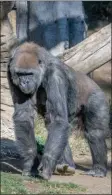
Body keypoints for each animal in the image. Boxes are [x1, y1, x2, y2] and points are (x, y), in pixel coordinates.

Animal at [8, 41, 110, 180]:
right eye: (20, 74)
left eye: (29, 74)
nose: (24, 82)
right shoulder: (10, 70)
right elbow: (24, 116)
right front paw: (30, 161)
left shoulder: (56, 74)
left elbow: (58, 118)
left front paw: (47, 163)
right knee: (55, 126)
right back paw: (66, 165)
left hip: (97, 96)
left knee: (95, 132)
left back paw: (98, 169)